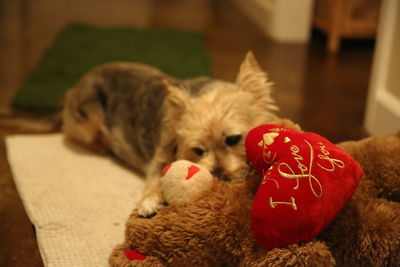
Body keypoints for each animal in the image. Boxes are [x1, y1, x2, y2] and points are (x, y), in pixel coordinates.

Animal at [4, 51, 294, 216]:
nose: (219, 177)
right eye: (197, 151)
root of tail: (70, 91)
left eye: (233, 139)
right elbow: (155, 178)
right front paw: (150, 200)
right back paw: (100, 146)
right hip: (87, 115)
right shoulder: (161, 156)